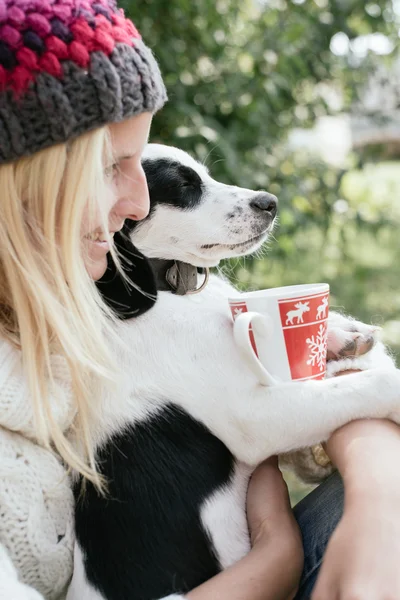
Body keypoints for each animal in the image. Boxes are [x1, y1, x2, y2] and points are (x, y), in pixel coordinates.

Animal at [68, 144, 400, 600]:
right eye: (184, 186)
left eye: (205, 174)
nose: (269, 202)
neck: (168, 294)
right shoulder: (256, 418)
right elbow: (373, 385)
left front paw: (341, 334)